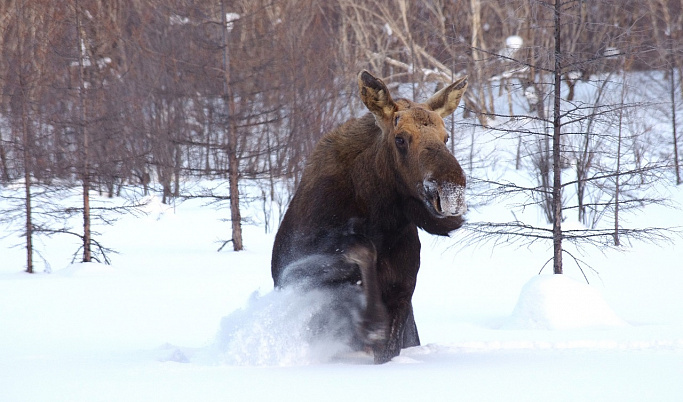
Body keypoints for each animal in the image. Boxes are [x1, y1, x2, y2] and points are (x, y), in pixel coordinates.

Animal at [272, 70, 470, 364]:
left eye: (445, 137)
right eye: (400, 139)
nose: (451, 192)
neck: (380, 219)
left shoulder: (403, 294)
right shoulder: (297, 273)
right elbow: (361, 248)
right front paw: (372, 321)